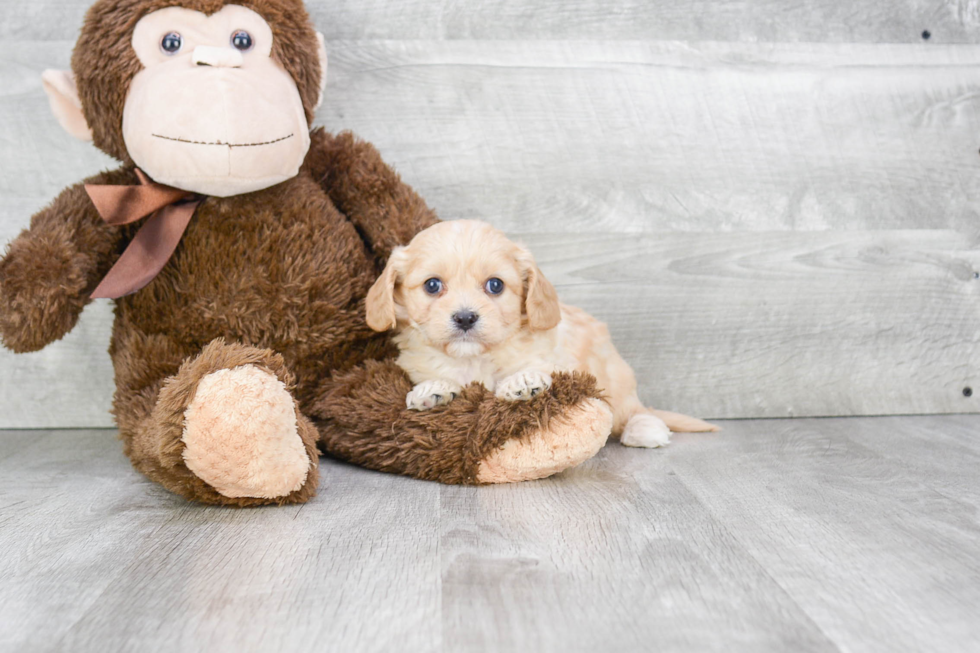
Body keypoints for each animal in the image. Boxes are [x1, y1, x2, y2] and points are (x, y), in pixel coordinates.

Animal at [364, 222, 716, 446]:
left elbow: (532, 367)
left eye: (495, 285)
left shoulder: (557, 358)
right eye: (432, 285)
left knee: (633, 411)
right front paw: (434, 389)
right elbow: (436, 376)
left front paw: (522, 381)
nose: (465, 317)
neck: (474, 358)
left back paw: (645, 430)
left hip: (616, 378)